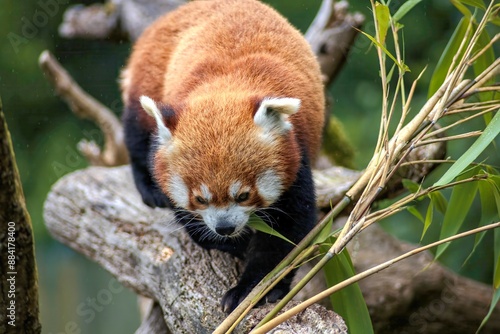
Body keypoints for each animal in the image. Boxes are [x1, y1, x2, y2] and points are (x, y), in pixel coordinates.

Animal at [121, 0, 324, 314]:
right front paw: (233, 245)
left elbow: (285, 235)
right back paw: (149, 189)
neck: (226, 89)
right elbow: (192, 222)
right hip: (149, 76)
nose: (225, 228)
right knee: (137, 133)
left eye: (243, 195)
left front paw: (252, 290)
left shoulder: (296, 157)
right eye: (200, 198)